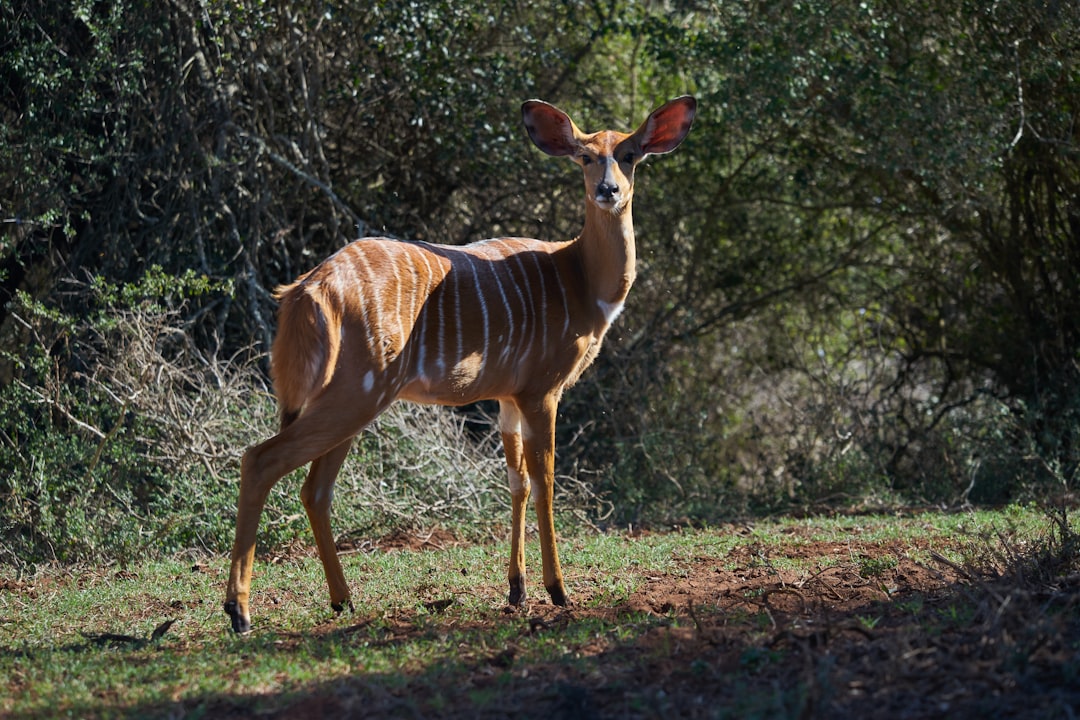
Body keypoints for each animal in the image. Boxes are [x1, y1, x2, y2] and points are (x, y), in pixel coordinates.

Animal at [225, 94, 699, 630]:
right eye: (585, 156)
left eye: (631, 155)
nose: (608, 190)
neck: (577, 277)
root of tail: (306, 290)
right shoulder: (543, 390)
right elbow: (545, 482)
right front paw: (557, 590)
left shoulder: (508, 398)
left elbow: (516, 483)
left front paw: (516, 590)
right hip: (358, 393)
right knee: (261, 459)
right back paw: (239, 611)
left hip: (346, 399)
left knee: (315, 489)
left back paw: (343, 600)